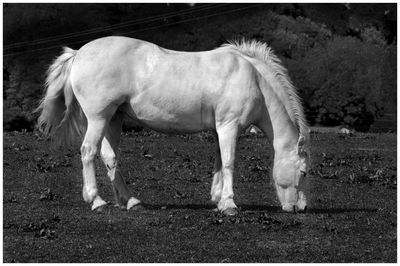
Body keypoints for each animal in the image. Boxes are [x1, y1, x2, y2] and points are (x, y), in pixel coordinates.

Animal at [36, 36, 310, 216]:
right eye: (304, 172)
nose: (300, 207)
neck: (253, 78)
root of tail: (78, 53)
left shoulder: (220, 129)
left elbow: (219, 162)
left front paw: (217, 199)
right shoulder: (229, 127)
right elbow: (229, 163)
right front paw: (229, 204)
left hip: (111, 119)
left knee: (109, 157)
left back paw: (130, 201)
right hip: (98, 118)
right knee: (88, 153)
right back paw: (96, 200)